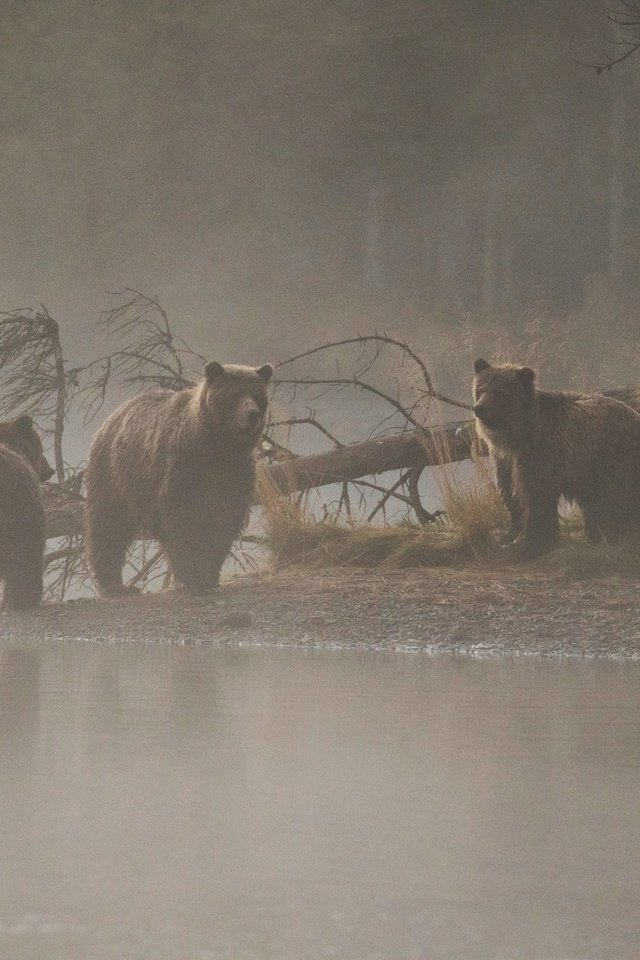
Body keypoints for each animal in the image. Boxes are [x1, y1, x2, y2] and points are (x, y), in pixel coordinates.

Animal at [84, 362, 272, 596]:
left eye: (257, 395)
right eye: (235, 394)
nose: (252, 414)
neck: (218, 446)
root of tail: (112, 416)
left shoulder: (235, 474)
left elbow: (224, 521)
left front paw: (210, 578)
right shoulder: (182, 467)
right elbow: (182, 520)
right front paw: (193, 578)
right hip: (114, 475)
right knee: (107, 527)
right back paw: (115, 585)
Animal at [470, 358, 640, 556]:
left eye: (498, 392)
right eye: (481, 389)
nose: (479, 408)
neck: (519, 436)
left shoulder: (541, 455)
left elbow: (536, 497)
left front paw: (531, 545)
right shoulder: (505, 459)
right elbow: (510, 491)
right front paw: (510, 534)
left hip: (611, 458)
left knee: (614, 499)